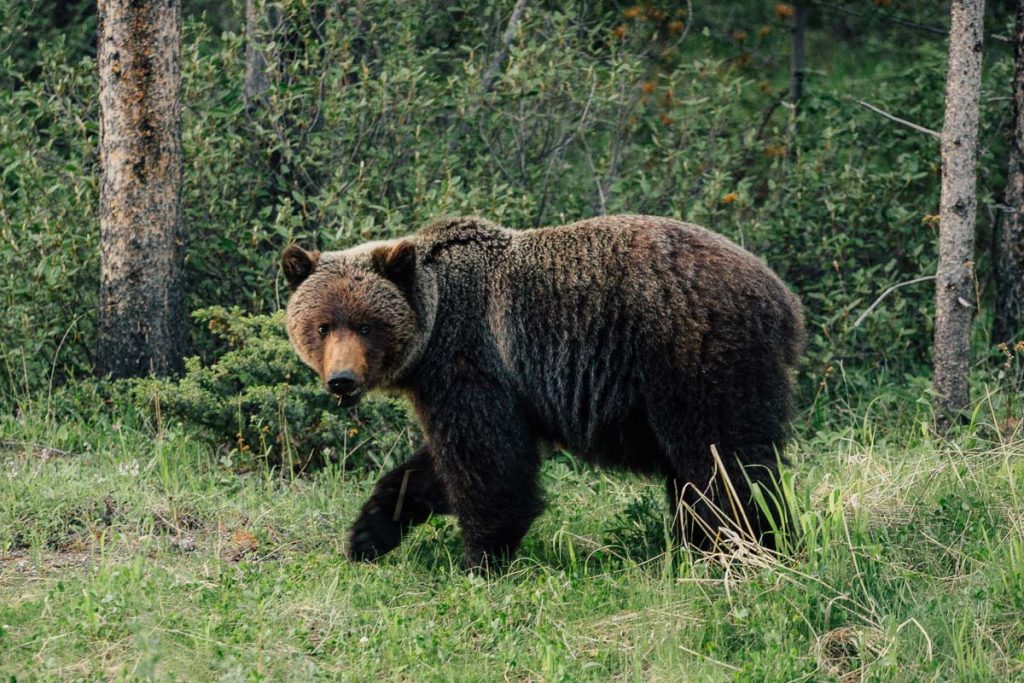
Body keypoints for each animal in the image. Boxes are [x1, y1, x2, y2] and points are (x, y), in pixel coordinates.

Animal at [281, 215, 804, 568]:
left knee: (725, 462)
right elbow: (436, 467)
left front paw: (481, 556)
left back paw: (752, 547)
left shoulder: (472, 360)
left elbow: (488, 464)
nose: (342, 380)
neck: (432, 329)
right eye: (323, 326)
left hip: (694, 358)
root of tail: (785, 299)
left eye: (366, 325)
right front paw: (368, 532)